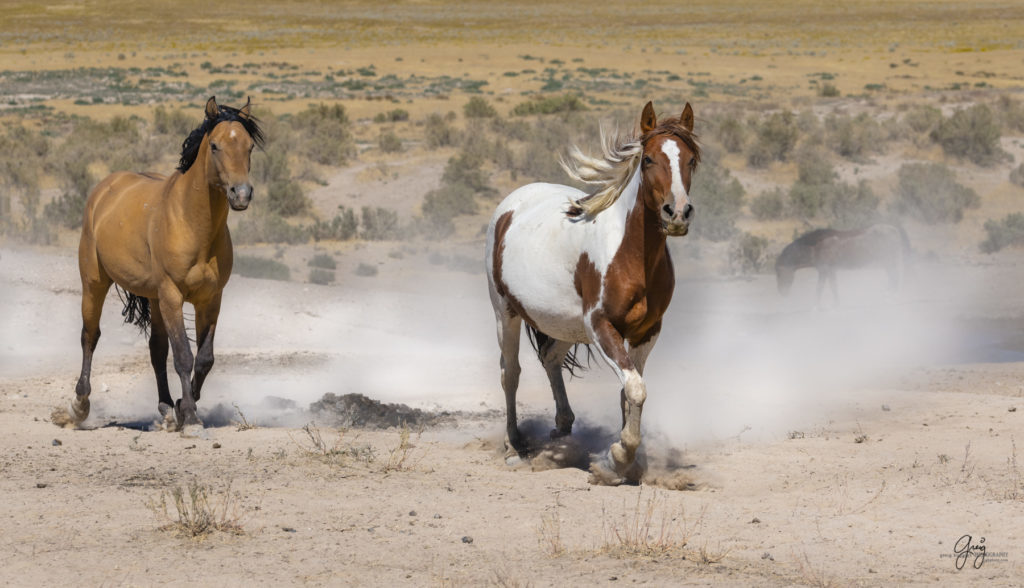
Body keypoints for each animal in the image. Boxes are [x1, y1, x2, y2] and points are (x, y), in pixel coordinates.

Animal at [55, 97, 264, 434]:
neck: (192, 224)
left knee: (156, 349)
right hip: (95, 282)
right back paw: (79, 405)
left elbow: (204, 358)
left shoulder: (210, 299)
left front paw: (180, 407)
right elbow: (183, 356)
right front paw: (190, 417)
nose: (241, 194)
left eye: (249, 147)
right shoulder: (172, 294)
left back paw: (166, 407)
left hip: (153, 298)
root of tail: (105, 188)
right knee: (90, 336)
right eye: (215, 146)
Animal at [483, 102, 700, 487]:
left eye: (691, 160)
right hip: (505, 313)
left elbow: (630, 391)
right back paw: (515, 444)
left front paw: (624, 463)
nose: (677, 213)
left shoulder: (647, 332)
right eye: (648, 159)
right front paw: (617, 458)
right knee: (511, 373)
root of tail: (512, 203)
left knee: (550, 359)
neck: (632, 255)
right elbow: (635, 389)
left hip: (564, 325)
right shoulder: (600, 326)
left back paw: (562, 430)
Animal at [774, 224, 913, 309]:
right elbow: (831, 287)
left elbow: (822, 288)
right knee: (893, 277)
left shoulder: (825, 270)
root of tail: (894, 229)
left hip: (888, 261)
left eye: (779, 273)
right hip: (887, 262)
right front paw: (834, 305)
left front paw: (818, 307)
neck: (817, 246)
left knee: (895, 277)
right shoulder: (829, 271)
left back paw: (891, 297)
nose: (782, 293)